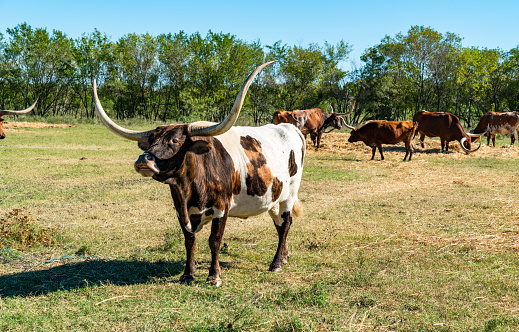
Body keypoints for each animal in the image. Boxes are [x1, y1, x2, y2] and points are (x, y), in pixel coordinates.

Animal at [94, 61, 306, 286]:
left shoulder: (222, 207)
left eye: (174, 141)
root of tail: (290, 128)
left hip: (290, 194)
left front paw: (214, 276)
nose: (143, 159)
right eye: (151, 141)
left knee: (285, 224)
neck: (189, 188)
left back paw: (276, 263)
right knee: (280, 224)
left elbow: (215, 241)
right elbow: (189, 241)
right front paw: (188, 274)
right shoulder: (181, 210)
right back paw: (284, 256)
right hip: (274, 197)